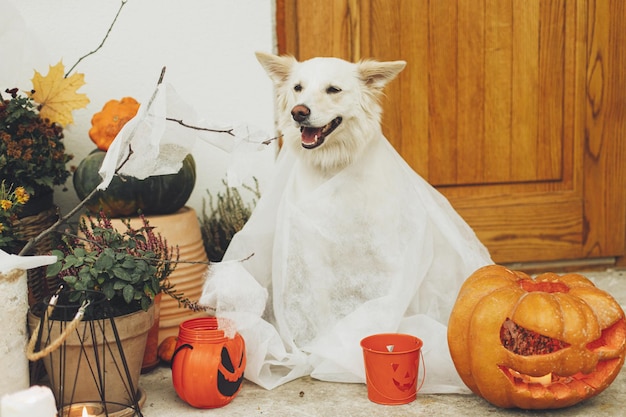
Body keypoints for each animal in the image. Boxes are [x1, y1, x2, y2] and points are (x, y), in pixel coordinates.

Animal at [202, 51, 490, 390]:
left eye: (333, 90)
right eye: (298, 88)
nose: (299, 112)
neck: (334, 172)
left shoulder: (383, 258)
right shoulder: (314, 256)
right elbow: (322, 308)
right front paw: (323, 349)